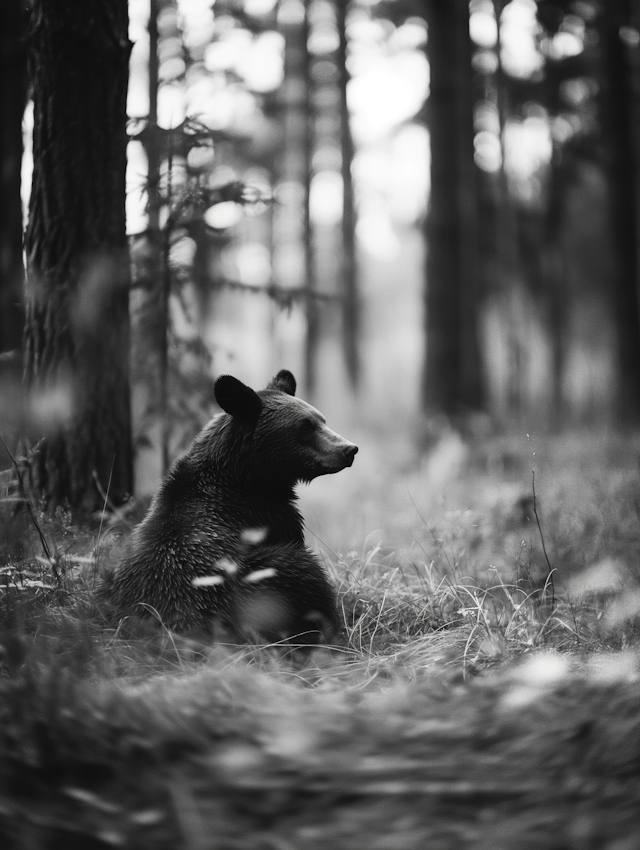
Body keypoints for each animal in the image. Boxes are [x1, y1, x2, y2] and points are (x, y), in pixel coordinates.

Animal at [102, 370, 358, 644]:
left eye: (321, 419)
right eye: (305, 425)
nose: (349, 449)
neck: (249, 479)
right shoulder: (274, 520)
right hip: (266, 578)